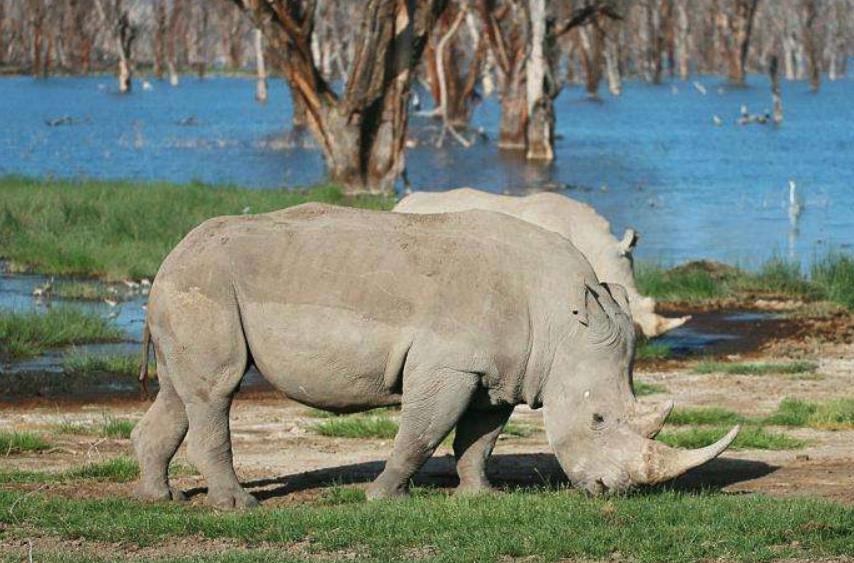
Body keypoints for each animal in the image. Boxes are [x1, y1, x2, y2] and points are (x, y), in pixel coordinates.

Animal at [132, 203, 737, 508]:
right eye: (598, 419)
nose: (614, 493)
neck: (562, 324)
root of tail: (171, 253)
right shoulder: (450, 364)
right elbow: (422, 432)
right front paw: (381, 498)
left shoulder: (504, 371)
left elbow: (480, 438)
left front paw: (480, 496)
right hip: (206, 281)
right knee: (218, 388)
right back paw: (237, 507)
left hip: (190, 284)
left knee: (182, 392)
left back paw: (159, 498)